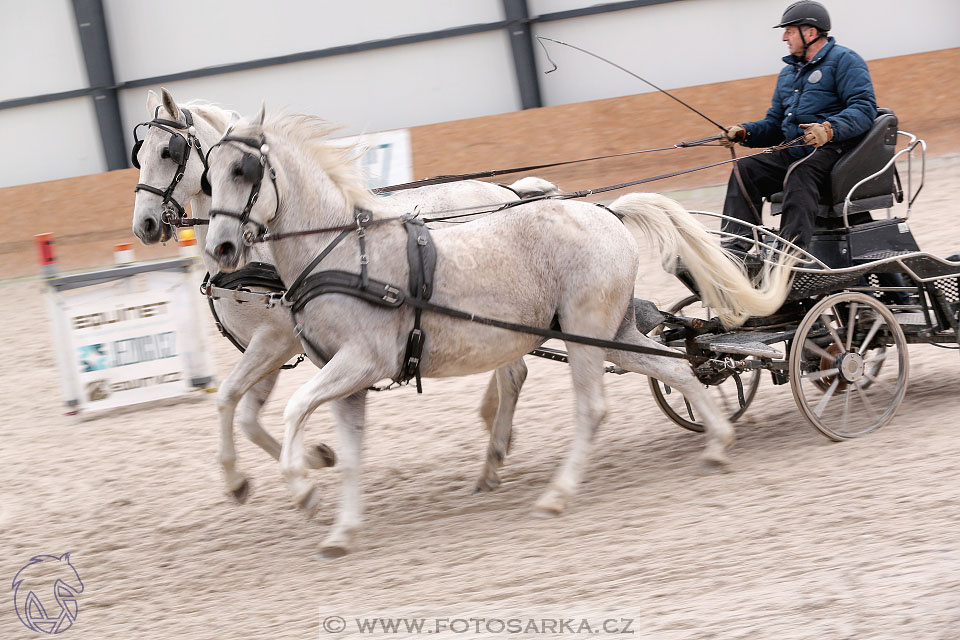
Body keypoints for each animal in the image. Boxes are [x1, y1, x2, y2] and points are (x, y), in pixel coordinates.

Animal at [131, 89, 560, 500]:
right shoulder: (270, 347)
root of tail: (503, 191)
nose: (145, 225)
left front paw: (254, 477)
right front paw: (314, 458)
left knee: (513, 372)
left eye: (169, 152)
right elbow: (247, 416)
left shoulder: (274, 340)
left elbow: (229, 398)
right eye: (140, 155)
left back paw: (493, 450)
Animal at [202, 107, 796, 556]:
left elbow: (292, 410)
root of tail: (605, 212)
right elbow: (347, 452)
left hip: (584, 332)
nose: (221, 248)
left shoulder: (360, 361)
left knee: (591, 408)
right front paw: (340, 528)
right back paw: (717, 442)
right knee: (675, 367)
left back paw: (557, 493)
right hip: (612, 330)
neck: (344, 252)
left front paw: (302, 489)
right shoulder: (347, 378)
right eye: (210, 173)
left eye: (245, 171)